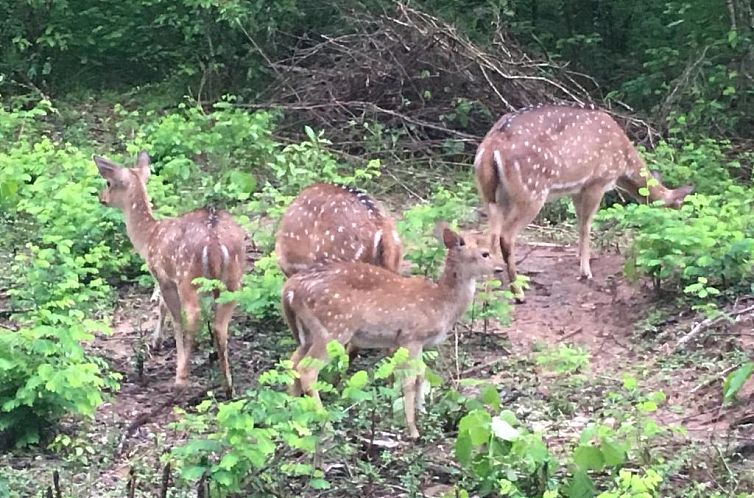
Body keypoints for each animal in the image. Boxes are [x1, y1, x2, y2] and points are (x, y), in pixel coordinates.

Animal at [94, 150, 245, 394]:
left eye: (108, 182)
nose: (101, 197)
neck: (148, 238)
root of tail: (214, 243)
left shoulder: (163, 275)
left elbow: (169, 312)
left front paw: (158, 345)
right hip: (233, 279)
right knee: (220, 325)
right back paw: (228, 385)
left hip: (188, 276)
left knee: (192, 316)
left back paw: (181, 378)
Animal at [280, 224, 502, 438]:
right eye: (485, 253)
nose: (500, 268)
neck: (441, 302)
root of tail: (290, 289)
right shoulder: (411, 336)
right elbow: (410, 380)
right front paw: (413, 429)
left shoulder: (415, 342)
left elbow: (421, 375)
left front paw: (423, 412)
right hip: (334, 328)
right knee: (307, 370)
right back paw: (325, 423)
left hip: (308, 332)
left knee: (293, 362)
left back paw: (293, 413)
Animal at [476, 103, 692, 302]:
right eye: (678, 213)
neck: (624, 162)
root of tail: (492, 146)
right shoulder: (596, 181)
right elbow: (586, 226)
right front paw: (585, 271)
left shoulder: (577, 188)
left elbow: (580, 222)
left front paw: (581, 260)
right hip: (531, 191)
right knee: (506, 236)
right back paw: (518, 293)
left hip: (491, 196)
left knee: (490, 235)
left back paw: (488, 296)